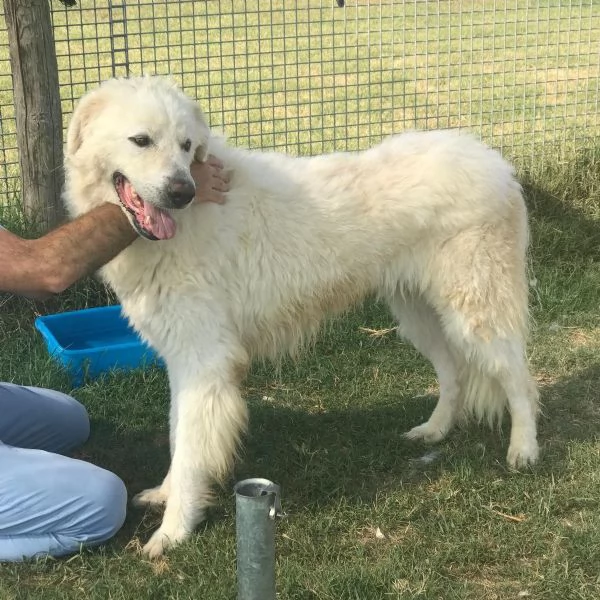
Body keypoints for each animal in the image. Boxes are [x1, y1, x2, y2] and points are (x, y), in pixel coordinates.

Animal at [63, 76, 540, 556]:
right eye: (141, 141)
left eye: (186, 145)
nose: (183, 192)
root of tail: (495, 162)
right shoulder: (185, 362)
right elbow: (178, 434)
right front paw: (165, 496)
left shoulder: (206, 361)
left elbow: (190, 452)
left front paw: (172, 532)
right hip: (421, 316)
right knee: (454, 374)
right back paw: (435, 431)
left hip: (475, 312)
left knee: (519, 378)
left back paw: (524, 450)